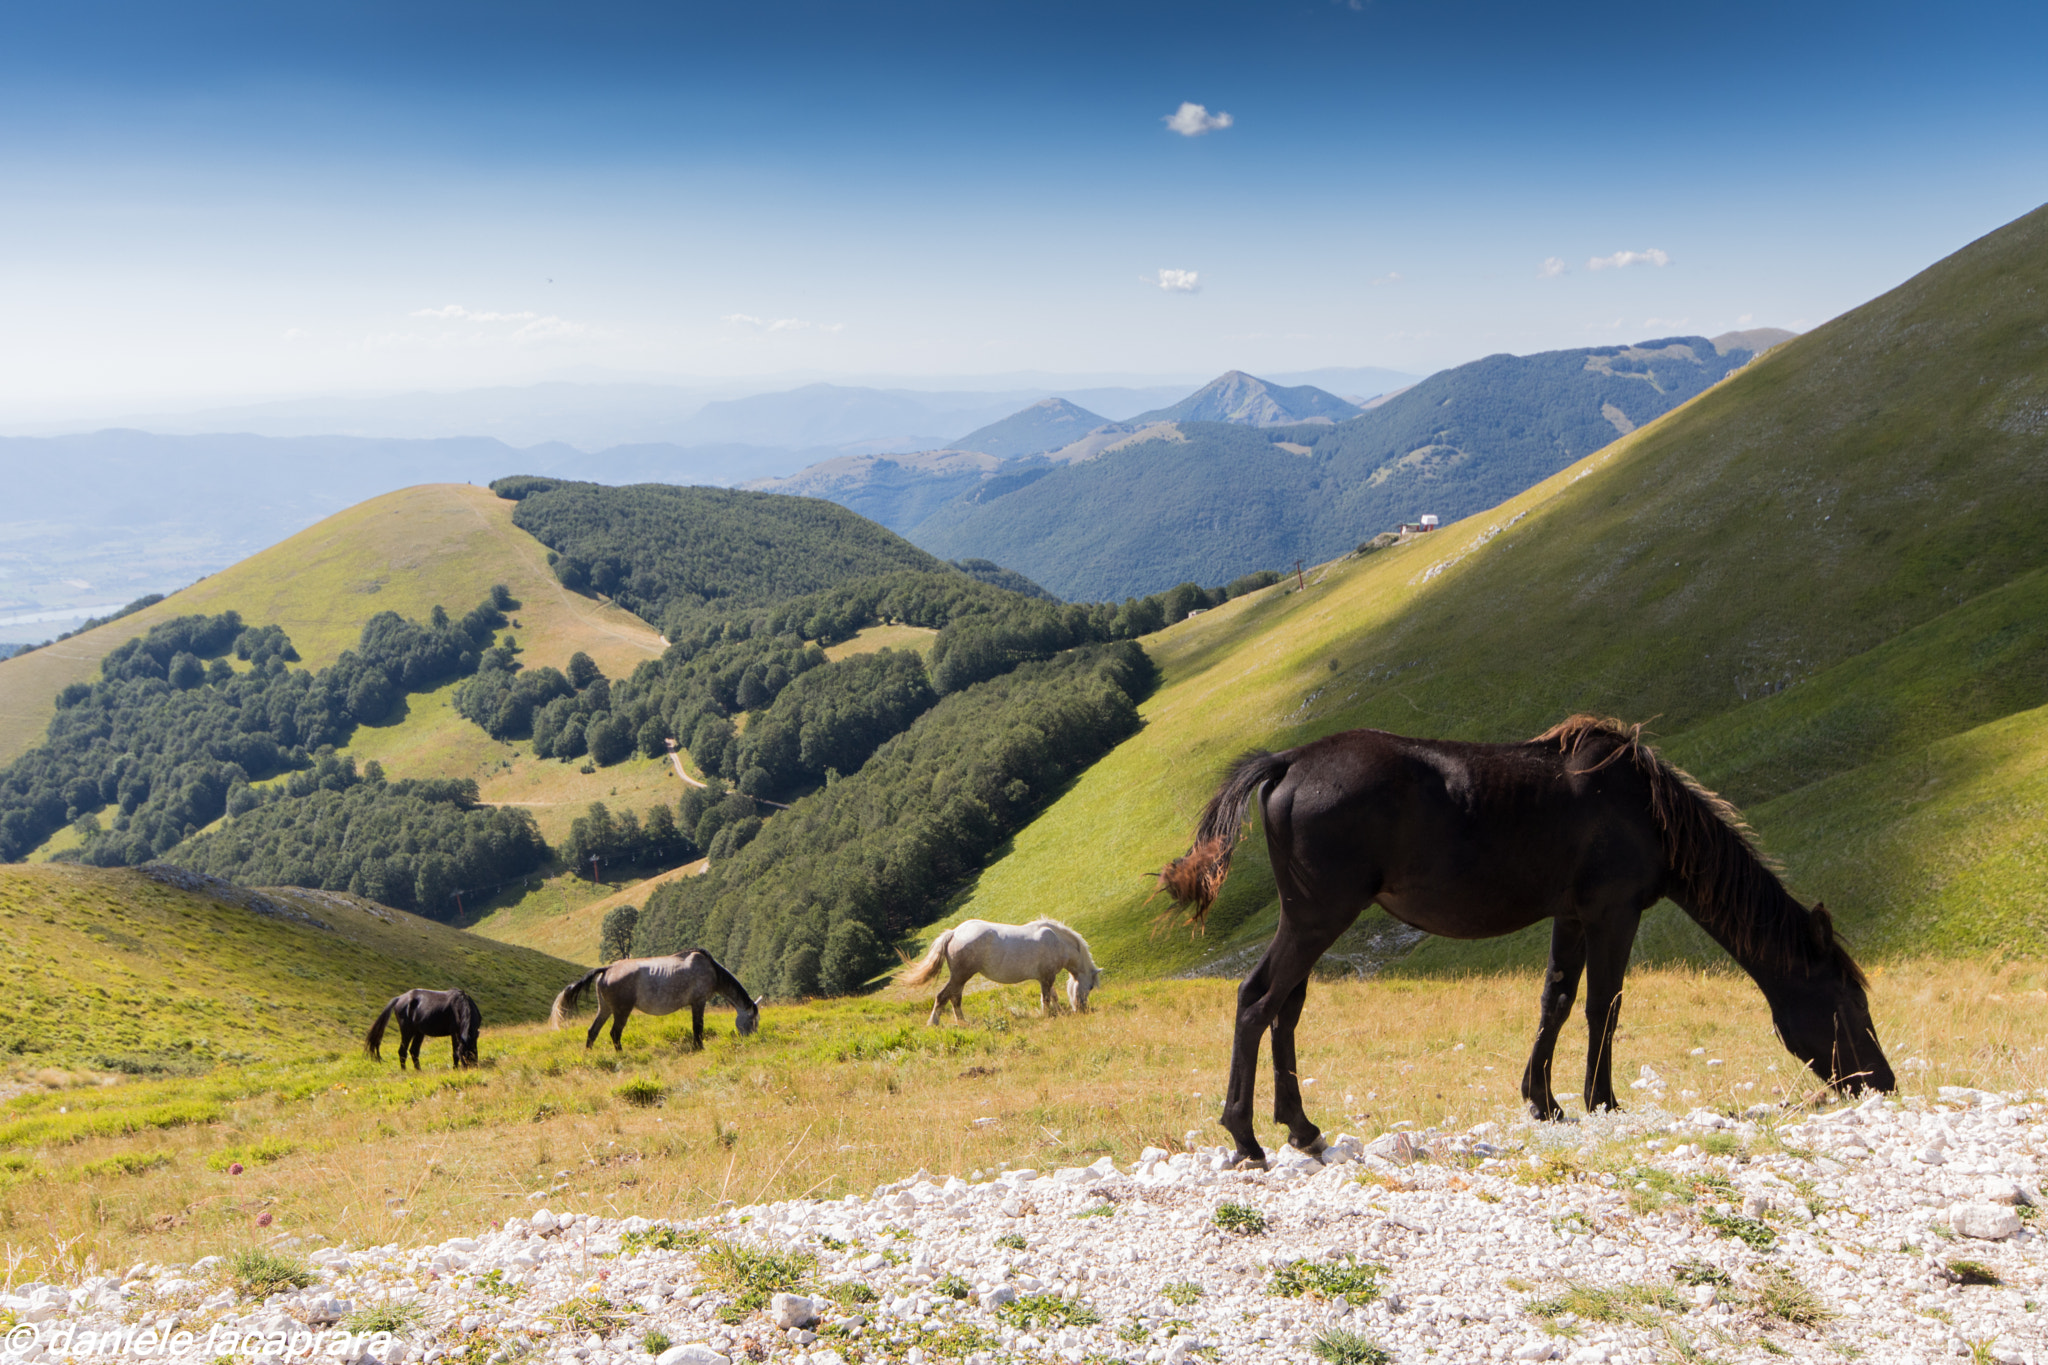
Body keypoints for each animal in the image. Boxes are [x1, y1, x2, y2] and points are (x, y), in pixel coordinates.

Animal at [548, 949, 765, 1055]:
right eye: (753, 1021)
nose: (753, 1040)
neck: (711, 970)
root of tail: (607, 969)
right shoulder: (698, 1001)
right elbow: (698, 1027)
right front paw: (699, 1047)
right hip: (621, 1010)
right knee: (615, 1033)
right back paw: (621, 1054)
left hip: (605, 1008)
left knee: (593, 1031)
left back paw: (589, 1054)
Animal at [901, 916, 1105, 1023]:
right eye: (1090, 987)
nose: (1082, 1009)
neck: (1057, 941)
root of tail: (954, 933)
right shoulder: (1047, 978)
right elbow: (1046, 998)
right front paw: (1047, 1015)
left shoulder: (1045, 977)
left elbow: (1053, 996)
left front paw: (1059, 1012)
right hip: (960, 976)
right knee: (943, 997)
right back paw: (935, 1024)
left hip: (960, 978)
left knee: (954, 998)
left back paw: (962, 1023)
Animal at [1163, 716, 1892, 1178]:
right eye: (1848, 1004)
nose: (1882, 1082)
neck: (1642, 808)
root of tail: (1288, 762)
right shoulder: (1613, 912)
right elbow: (1604, 1005)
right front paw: (1601, 1099)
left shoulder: (1571, 915)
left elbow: (1557, 1001)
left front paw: (1544, 1101)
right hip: (1317, 917)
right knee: (1258, 1001)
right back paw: (1247, 1137)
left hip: (1313, 919)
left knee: (1284, 1010)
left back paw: (1302, 1128)